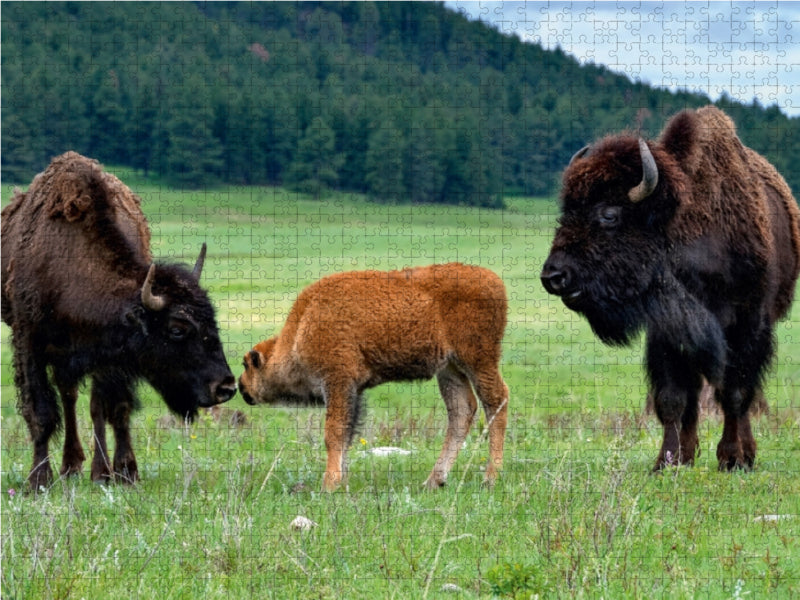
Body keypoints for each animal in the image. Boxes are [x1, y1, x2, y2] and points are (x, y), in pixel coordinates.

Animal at [1, 152, 237, 490]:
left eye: (213, 322)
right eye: (177, 329)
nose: (226, 387)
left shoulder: (111, 355)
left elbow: (113, 409)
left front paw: (123, 473)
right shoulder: (29, 342)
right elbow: (41, 414)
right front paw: (38, 480)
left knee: (81, 401)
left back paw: (85, 468)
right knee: (68, 398)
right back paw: (69, 468)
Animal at [238, 263, 509, 491]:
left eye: (246, 365)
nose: (241, 387)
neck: (301, 328)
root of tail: (495, 281)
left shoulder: (338, 381)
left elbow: (334, 433)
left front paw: (329, 484)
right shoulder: (353, 391)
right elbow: (347, 435)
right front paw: (341, 481)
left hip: (478, 361)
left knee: (496, 401)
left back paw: (490, 478)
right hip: (450, 369)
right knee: (462, 410)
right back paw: (434, 481)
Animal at [541, 106, 800, 471]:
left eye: (609, 214)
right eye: (566, 212)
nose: (553, 276)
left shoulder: (747, 324)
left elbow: (735, 392)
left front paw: (732, 458)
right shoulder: (667, 332)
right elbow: (672, 398)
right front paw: (666, 462)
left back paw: (744, 454)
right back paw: (689, 454)